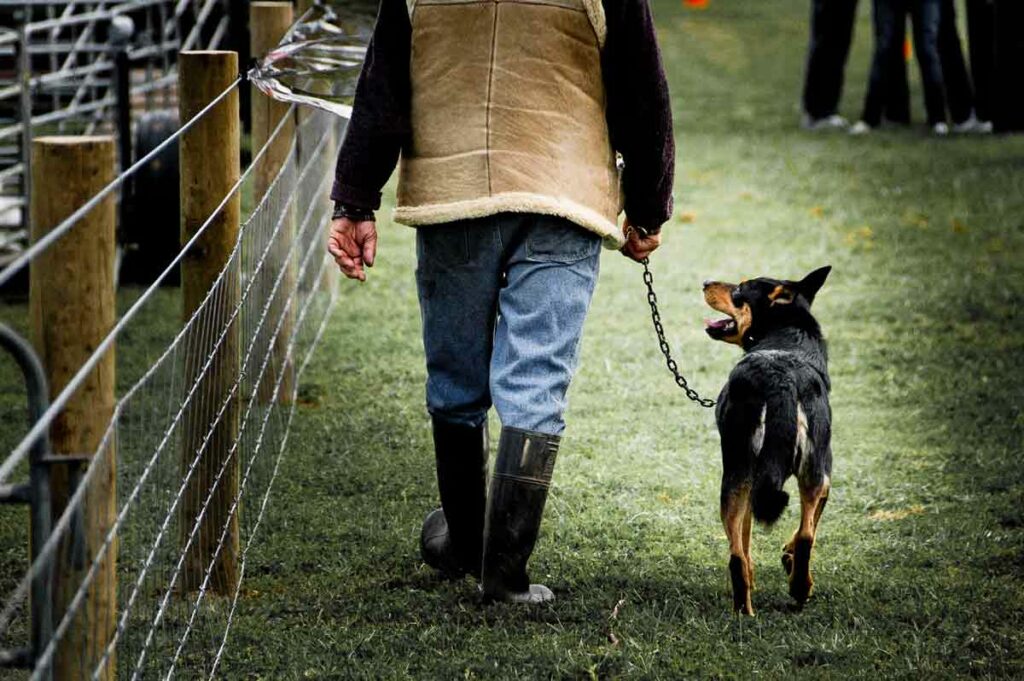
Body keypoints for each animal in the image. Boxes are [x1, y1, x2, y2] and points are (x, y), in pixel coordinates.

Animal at [700, 264, 835, 610]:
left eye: (740, 289)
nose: (705, 281)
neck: (788, 330)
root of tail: (780, 380)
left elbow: (746, 544)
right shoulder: (822, 477)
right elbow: (806, 529)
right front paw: (789, 561)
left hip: (737, 474)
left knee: (736, 555)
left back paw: (744, 610)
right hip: (814, 472)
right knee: (805, 536)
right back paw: (799, 588)